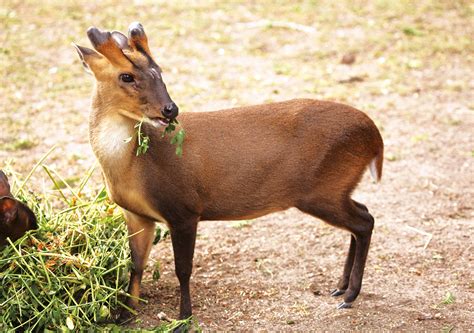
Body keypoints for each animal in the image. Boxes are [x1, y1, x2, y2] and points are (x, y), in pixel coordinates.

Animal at [75, 22, 386, 320]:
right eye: (126, 76)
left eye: (159, 71)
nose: (170, 110)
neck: (134, 167)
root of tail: (375, 137)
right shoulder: (138, 214)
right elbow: (136, 266)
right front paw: (124, 315)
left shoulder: (185, 209)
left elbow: (183, 269)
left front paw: (183, 318)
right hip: (335, 189)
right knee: (362, 215)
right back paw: (341, 287)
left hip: (322, 190)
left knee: (364, 221)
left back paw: (350, 295)